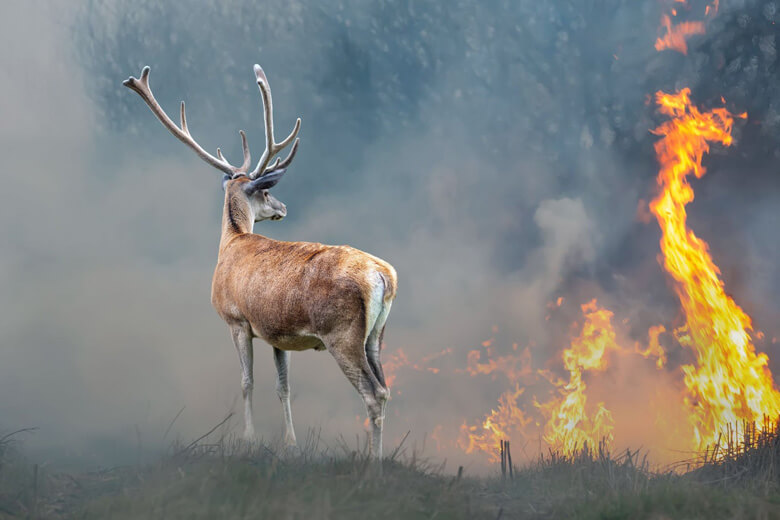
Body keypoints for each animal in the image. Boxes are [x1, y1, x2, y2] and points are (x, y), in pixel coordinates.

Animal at [125, 66, 400, 464]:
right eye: (268, 191)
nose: (283, 208)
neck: (231, 243)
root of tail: (383, 275)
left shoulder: (236, 319)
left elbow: (246, 382)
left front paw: (249, 440)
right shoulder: (276, 333)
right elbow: (282, 386)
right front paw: (291, 445)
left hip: (342, 332)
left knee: (373, 393)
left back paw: (374, 464)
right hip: (377, 335)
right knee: (386, 387)